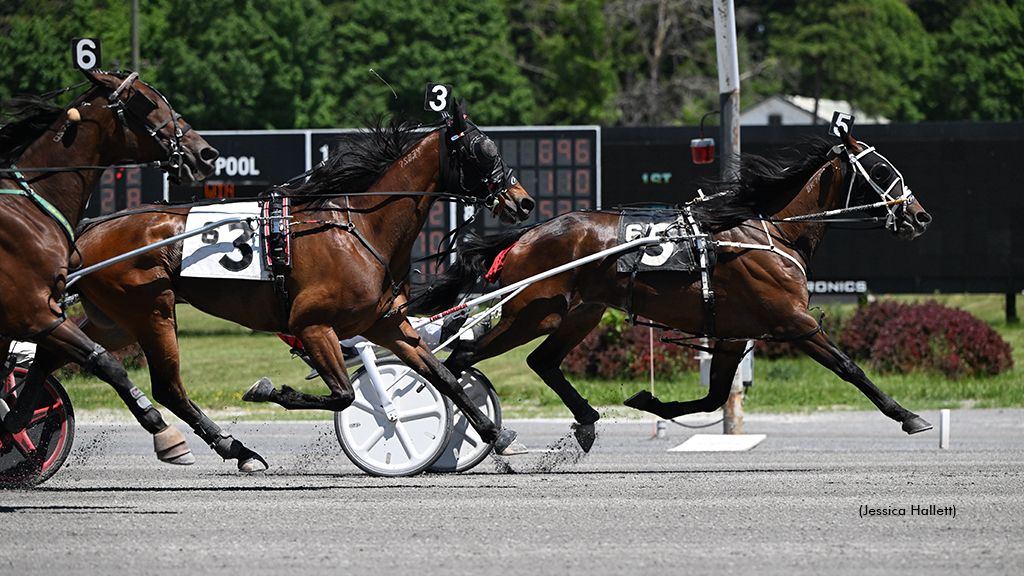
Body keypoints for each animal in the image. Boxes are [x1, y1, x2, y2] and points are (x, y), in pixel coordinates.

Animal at [1, 68, 218, 461]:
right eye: (148, 101)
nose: (205, 153)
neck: (29, 205)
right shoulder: (31, 312)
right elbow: (107, 363)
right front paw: (165, 433)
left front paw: (16, 422)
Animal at [61, 101, 536, 471]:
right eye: (481, 150)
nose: (524, 201)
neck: (363, 230)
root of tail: (90, 228)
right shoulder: (312, 325)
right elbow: (344, 394)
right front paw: (272, 390)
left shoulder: (388, 324)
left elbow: (443, 377)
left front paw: (497, 435)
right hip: (151, 309)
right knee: (167, 387)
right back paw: (230, 449)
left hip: (113, 319)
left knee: (85, 357)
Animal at [413, 130, 937, 448]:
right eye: (882, 171)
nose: (919, 215)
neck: (767, 232)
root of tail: (523, 236)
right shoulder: (794, 321)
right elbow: (851, 367)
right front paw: (908, 414)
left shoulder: (734, 335)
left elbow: (713, 396)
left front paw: (648, 402)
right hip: (532, 312)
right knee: (459, 359)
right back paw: (476, 431)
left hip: (581, 312)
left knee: (541, 361)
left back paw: (586, 419)